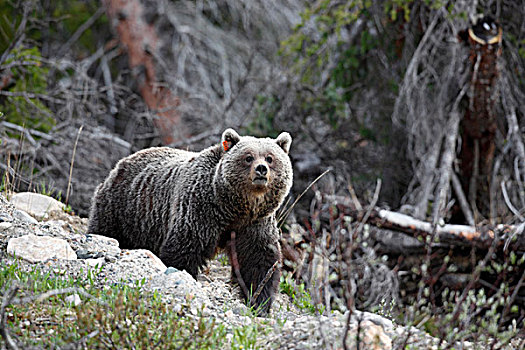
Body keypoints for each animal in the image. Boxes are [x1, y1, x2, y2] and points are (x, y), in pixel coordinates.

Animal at [86, 129, 290, 312]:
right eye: (248, 157)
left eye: (270, 158)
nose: (261, 169)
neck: (234, 208)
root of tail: (122, 162)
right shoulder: (200, 210)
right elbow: (184, 248)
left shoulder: (255, 224)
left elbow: (258, 260)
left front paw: (260, 302)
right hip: (123, 209)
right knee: (105, 229)